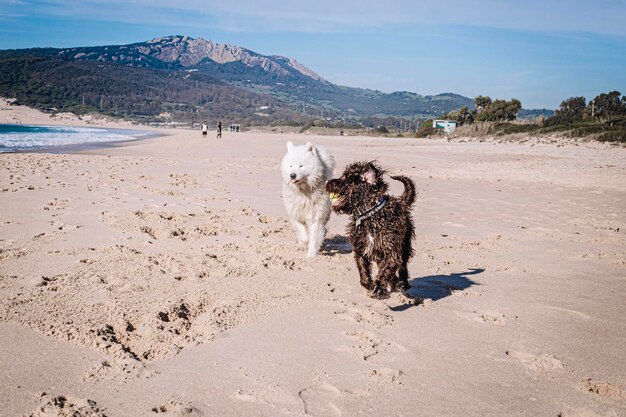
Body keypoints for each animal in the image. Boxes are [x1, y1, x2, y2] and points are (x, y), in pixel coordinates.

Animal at [326, 161, 414, 298]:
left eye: (347, 178)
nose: (328, 182)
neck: (369, 216)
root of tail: (402, 203)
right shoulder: (361, 249)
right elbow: (364, 274)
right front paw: (371, 285)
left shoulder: (391, 250)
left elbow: (388, 268)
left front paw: (379, 287)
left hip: (404, 245)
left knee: (403, 266)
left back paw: (402, 284)